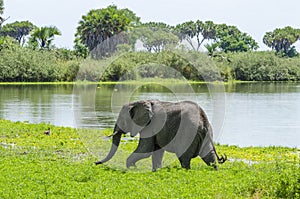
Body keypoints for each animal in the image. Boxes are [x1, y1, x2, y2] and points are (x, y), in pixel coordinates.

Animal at [95, 100, 226, 170]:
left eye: (122, 120)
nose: (95, 163)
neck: (140, 102)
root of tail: (203, 119)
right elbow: (157, 151)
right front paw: (155, 170)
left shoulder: (150, 126)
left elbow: (146, 150)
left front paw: (131, 168)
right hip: (206, 134)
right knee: (209, 156)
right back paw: (215, 171)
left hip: (188, 133)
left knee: (184, 158)